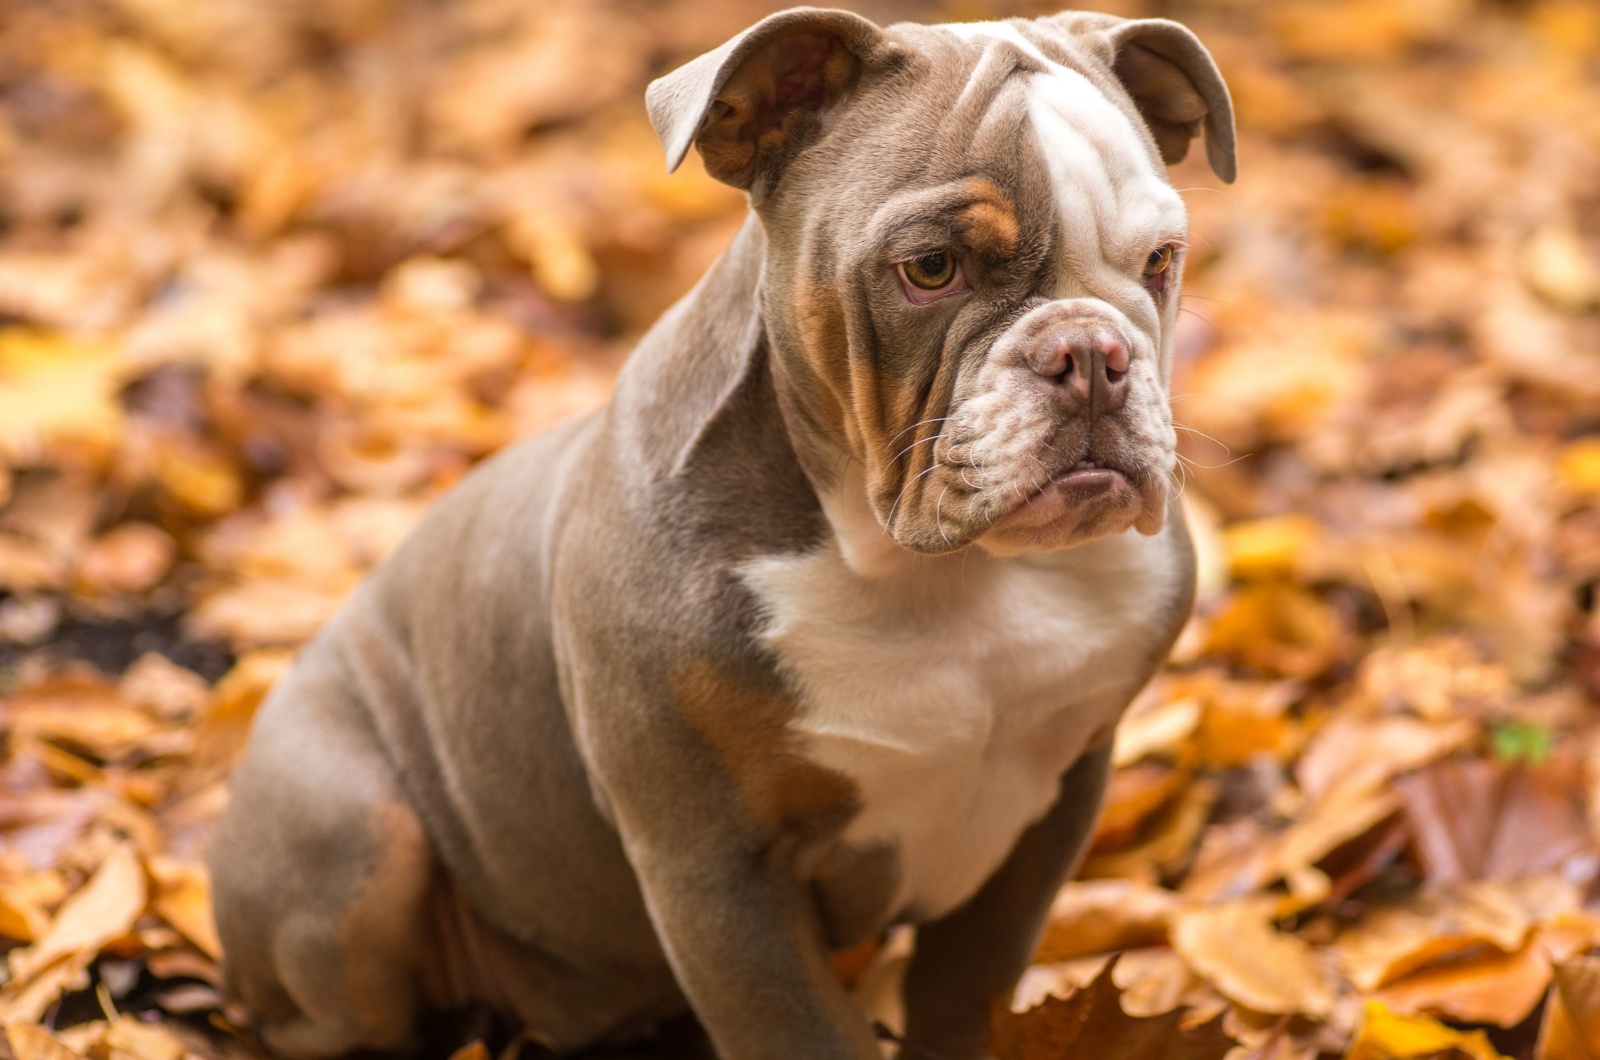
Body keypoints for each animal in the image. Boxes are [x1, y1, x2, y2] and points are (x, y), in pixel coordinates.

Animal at [209, 10, 1235, 1060]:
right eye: (930, 269)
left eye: (1161, 261)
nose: (1092, 353)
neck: (935, 573)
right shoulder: (715, 872)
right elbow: (805, 1032)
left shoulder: (1054, 806)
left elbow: (964, 995)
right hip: (353, 833)